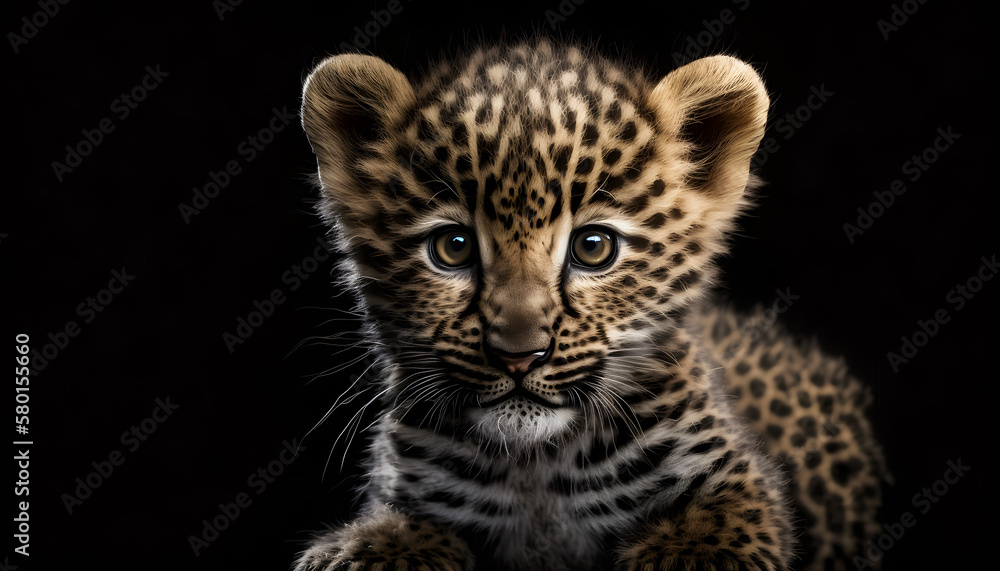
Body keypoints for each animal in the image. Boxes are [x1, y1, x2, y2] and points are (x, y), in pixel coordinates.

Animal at [293, 38, 886, 571]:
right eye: (453, 247)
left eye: (593, 247)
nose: (518, 355)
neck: (534, 470)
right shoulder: (414, 497)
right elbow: (390, 540)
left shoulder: (734, 490)